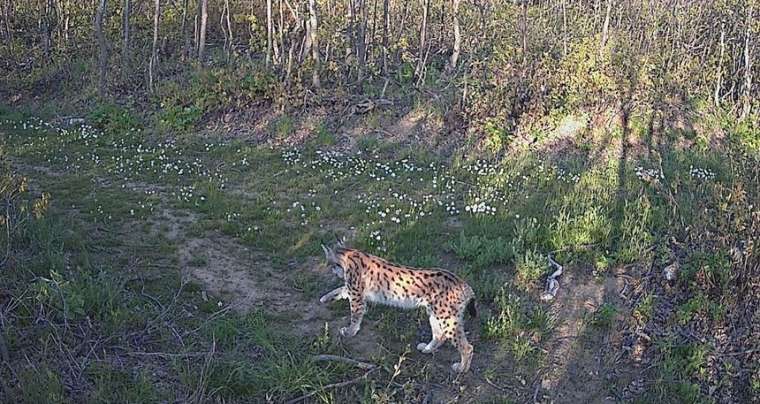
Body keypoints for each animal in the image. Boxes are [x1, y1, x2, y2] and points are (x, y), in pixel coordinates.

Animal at [320, 243, 476, 372]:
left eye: (330, 264)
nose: (333, 271)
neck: (348, 254)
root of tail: (463, 283)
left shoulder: (357, 296)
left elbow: (354, 316)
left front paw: (350, 332)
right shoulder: (354, 291)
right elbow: (340, 289)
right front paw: (325, 298)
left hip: (446, 317)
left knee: (467, 347)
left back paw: (461, 368)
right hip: (435, 313)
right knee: (440, 335)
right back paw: (427, 348)